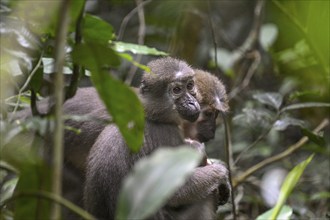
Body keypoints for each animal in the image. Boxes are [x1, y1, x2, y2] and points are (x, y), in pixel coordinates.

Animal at [82, 57, 229, 219]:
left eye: (190, 86)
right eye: (177, 90)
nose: (192, 102)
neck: (149, 115)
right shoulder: (166, 136)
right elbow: (177, 193)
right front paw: (221, 172)